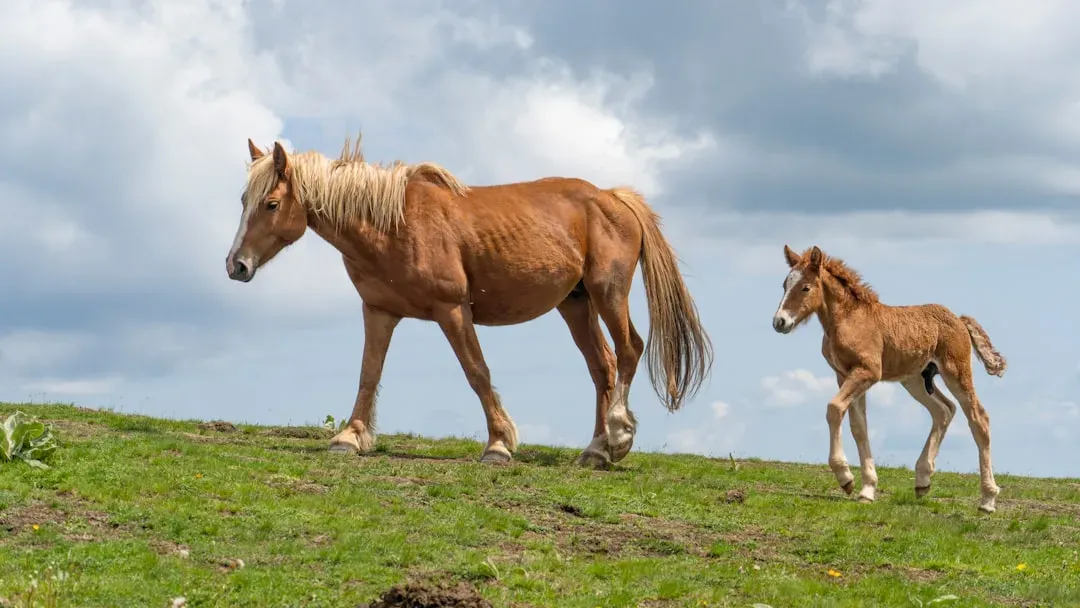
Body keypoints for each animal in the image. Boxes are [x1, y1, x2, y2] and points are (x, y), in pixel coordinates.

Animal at [225, 134, 714, 468]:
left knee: (629, 351)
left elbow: (477, 372)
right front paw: (350, 436)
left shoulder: (452, 309)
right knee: (603, 366)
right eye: (243, 199)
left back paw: (617, 436)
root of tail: (612, 197)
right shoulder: (379, 311)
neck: (394, 224)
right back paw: (595, 450)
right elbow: (368, 374)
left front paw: (498, 444)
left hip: (608, 293)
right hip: (575, 304)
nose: (236, 265)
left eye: (271, 203)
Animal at [771, 245, 1006, 513]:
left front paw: (846, 478)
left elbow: (834, 408)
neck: (849, 318)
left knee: (978, 418)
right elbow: (859, 426)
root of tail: (959, 320)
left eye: (806, 287)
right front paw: (867, 489)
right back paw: (923, 480)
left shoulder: (867, 372)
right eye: (784, 284)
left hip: (955, 371)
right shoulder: (844, 375)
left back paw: (987, 500)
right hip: (915, 380)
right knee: (944, 410)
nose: (779, 322)